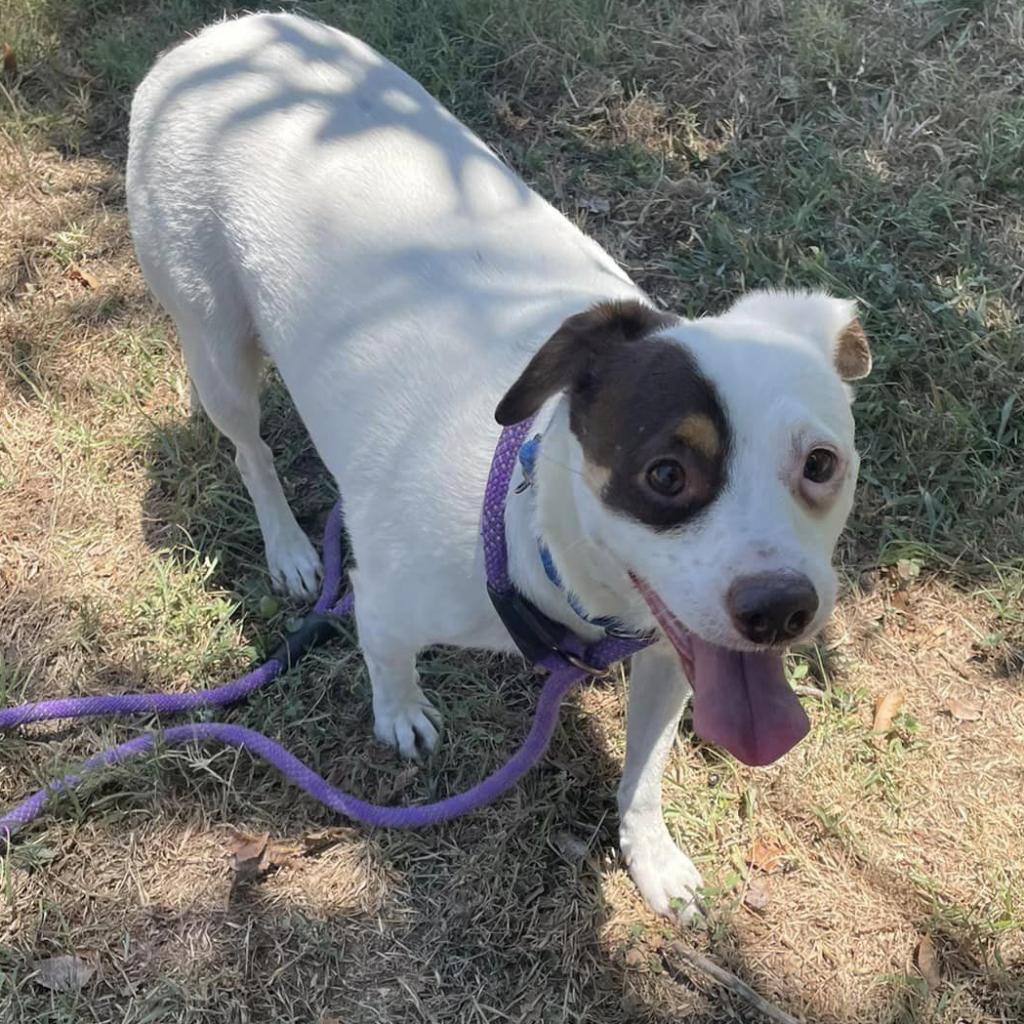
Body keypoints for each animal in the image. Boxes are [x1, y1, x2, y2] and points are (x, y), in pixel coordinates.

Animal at [123, 9, 868, 921]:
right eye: (665, 475)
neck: (529, 534)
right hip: (215, 342)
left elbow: (646, 774)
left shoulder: (673, 655)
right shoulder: (386, 601)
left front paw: (651, 857)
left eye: (822, 464)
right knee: (250, 449)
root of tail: (219, 36)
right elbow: (386, 660)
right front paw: (400, 713)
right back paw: (291, 549)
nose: (780, 610)